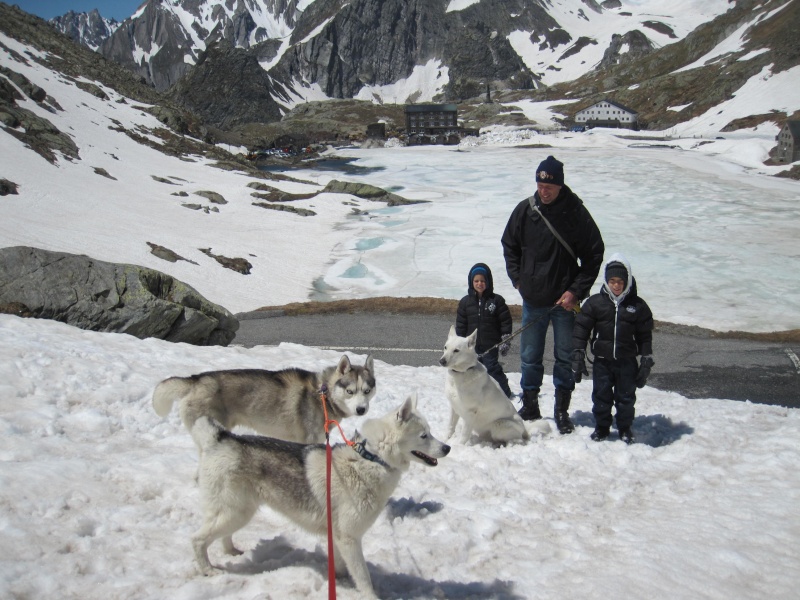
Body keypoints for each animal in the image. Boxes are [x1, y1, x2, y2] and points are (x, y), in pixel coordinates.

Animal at [189, 394, 450, 600]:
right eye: (424, 435)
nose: (447, 448)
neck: (371, 459)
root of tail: (220, 438)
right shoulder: (349, 538)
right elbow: (363, 576)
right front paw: (369, 596)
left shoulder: (339, 538)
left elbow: (343, 567)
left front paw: (341, 583)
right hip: (235, 513)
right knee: (198, 539)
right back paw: (208, 570)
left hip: (236, 513)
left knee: (221, 536)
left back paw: (231, 552)